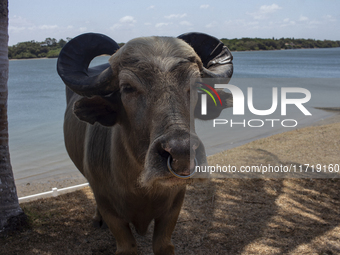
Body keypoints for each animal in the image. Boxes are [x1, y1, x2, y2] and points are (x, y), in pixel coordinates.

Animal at [57, 32, 234, 254]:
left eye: (195, 86)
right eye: (127, 88)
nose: (181, 154)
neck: (142, 189)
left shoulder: (175, 204)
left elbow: (163, 245)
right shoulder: (110, 210)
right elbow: (127, 247)